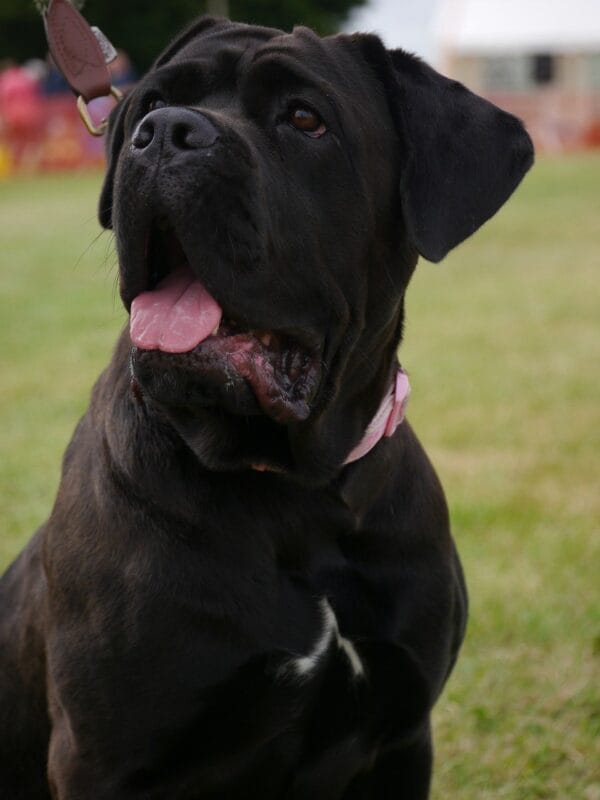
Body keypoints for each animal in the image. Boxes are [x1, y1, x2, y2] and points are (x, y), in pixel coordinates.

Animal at [0, 15, 536, 796]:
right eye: (151, 102)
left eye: (306, 120)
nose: (165, 133)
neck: (296, 492)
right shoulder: (101, 758)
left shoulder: (403, 734)